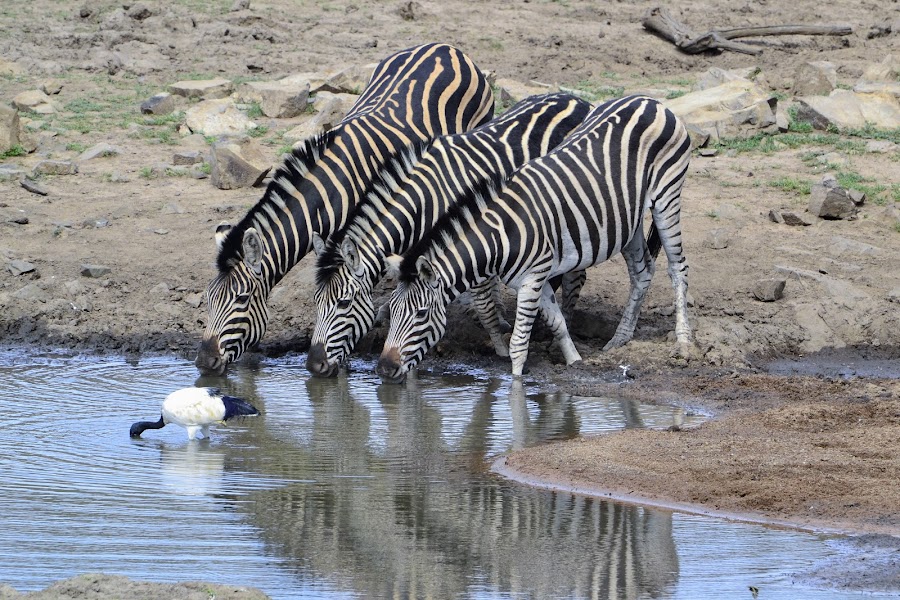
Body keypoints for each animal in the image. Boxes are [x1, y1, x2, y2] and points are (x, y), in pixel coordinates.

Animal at [306, 92, 596, 376]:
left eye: (344, 304)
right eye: (316, 301)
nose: (314, 365)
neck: (424, 201)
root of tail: (576, 99)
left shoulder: (474, 242)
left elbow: (484, 307)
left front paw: (501, 352)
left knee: (575, 276)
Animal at [376, 96, 692, 382]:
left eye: (421, 315)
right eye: (391, 310)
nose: (385, 368)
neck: (500, 236)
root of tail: (650, 100)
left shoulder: (533, 278)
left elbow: (518, 344)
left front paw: (517, 387)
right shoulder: (533, 280)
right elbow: (558, 322)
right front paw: (574, 360)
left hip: (667, 197)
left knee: (677, 268)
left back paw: (683, 342)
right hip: (630, 218)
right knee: (642, 271)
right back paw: (620, 339)